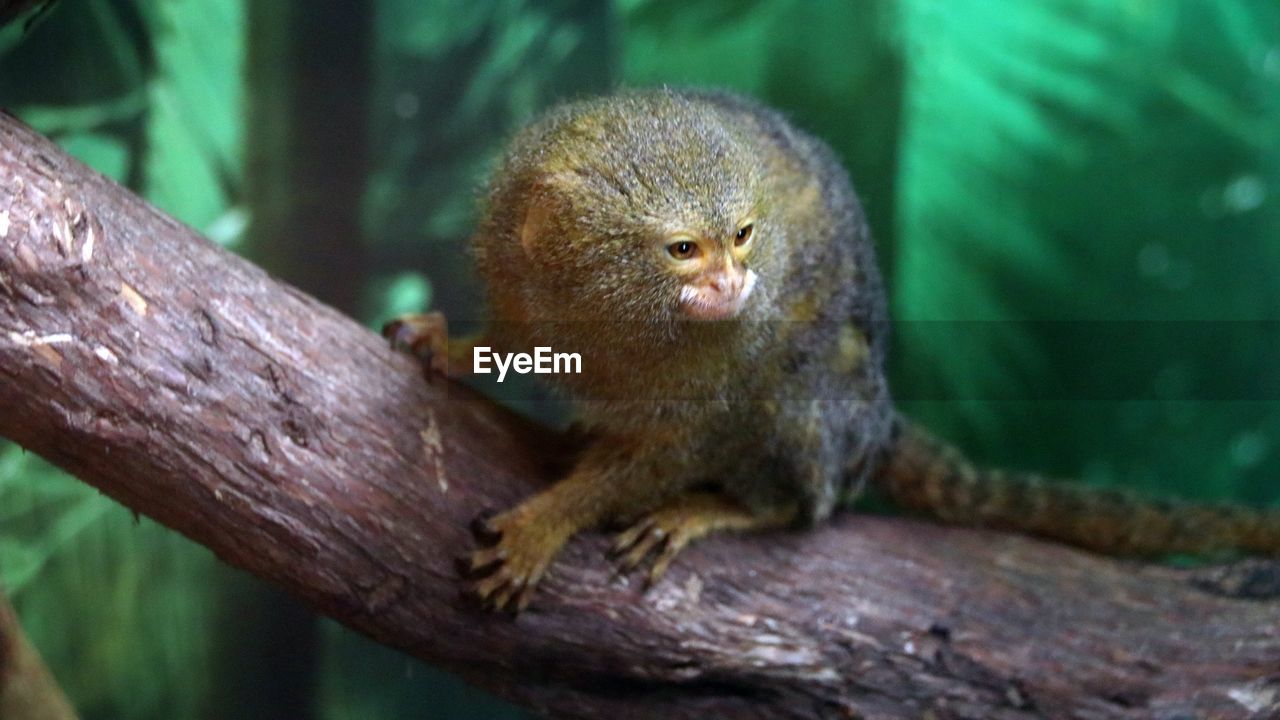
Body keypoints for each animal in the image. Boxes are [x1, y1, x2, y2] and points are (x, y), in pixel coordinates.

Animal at [381, 85, 1280, 609]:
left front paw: (550, 522)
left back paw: (727, 507)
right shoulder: (519, 274)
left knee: (797, 449)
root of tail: (876, 422)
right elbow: (517, 336)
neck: (610, 313)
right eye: (684, 250)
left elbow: (675, 446)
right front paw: (451, 346)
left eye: (743, 236)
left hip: (831, 418)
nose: (732, 285)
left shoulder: (718, 366)